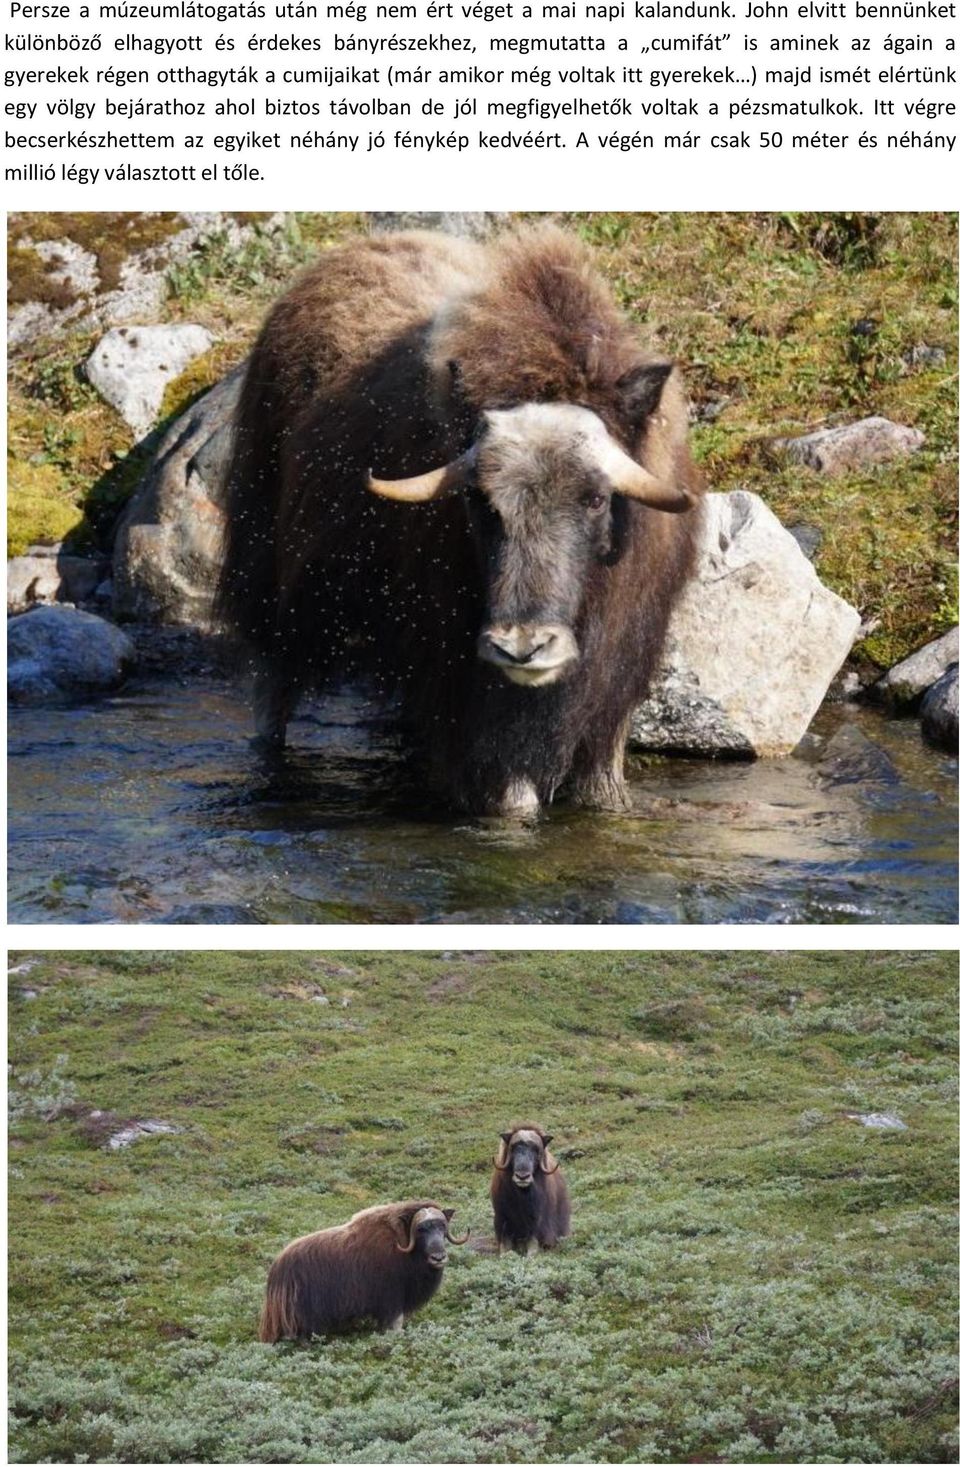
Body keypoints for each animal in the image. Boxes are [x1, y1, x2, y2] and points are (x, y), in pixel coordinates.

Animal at [220, 230, 707, 827]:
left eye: (595, 499)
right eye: (480, 501)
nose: (522, 647)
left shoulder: (612, 686)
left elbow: (603, 789)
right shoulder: (467, 694)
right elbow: (509, 799)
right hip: (276, 583)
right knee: (274, 681)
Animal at [255, 1202, 466, 1343]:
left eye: (442, 1227)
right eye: (421, 1229)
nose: (438, 1257)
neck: (405, 1247)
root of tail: (276, 1269)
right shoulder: (392, 1299)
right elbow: (395, 1322)